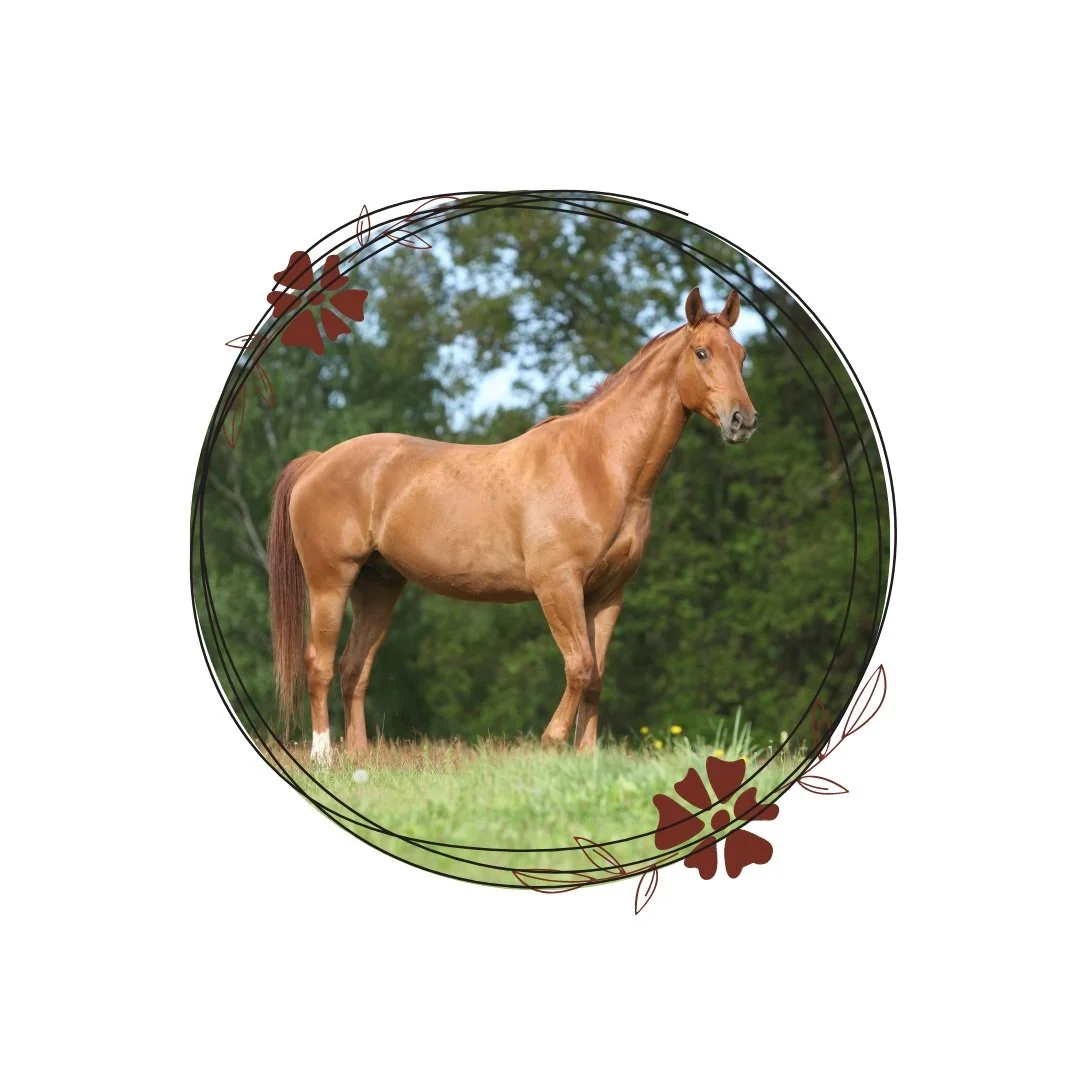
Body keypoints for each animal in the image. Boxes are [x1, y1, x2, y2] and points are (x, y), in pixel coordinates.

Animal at [267, 286, 757, 762]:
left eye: (741, 353)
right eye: (701, 352)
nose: (743, 420)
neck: (597, 465)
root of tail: (318, 462)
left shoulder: (607, 594)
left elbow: (597, 675)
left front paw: (585, 758)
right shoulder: (557, 586)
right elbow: (579, 667)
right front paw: (551, 742)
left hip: (379, 585)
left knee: (353, 669)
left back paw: (360, 759)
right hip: (330, 582)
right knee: (319, 664)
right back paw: (324, 756)